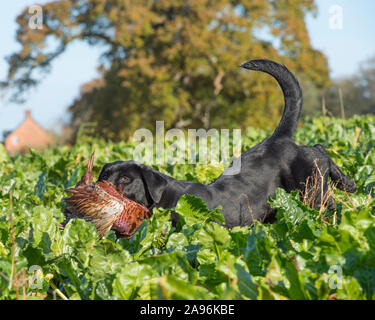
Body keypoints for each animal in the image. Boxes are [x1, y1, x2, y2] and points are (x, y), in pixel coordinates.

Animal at [98, 58, 356, 228]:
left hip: (312, 191)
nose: (100, 190)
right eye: (104, 177)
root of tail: (278, 138)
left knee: (321, 163)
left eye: (125, 180)